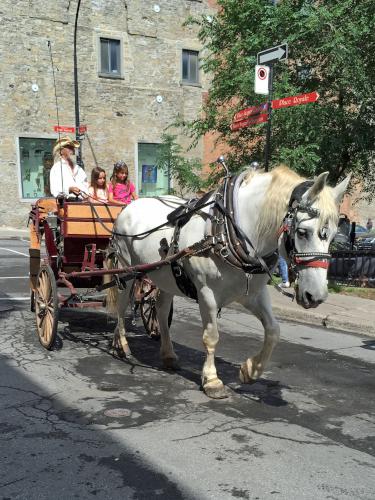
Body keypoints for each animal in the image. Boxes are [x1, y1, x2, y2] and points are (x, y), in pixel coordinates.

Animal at [107, 166, 352, 400]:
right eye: (302, 232)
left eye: (332, 236)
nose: (316, 296)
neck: (227, 232)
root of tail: (129, 206)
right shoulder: (206, 294)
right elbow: (211, 336)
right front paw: (212, 380)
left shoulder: (253, 294)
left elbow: (274, 330)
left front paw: (250, 370)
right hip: (126, 268)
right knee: (121, 306)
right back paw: (121, 345)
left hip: (166, 276)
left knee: (161, 308)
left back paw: (168, 354)